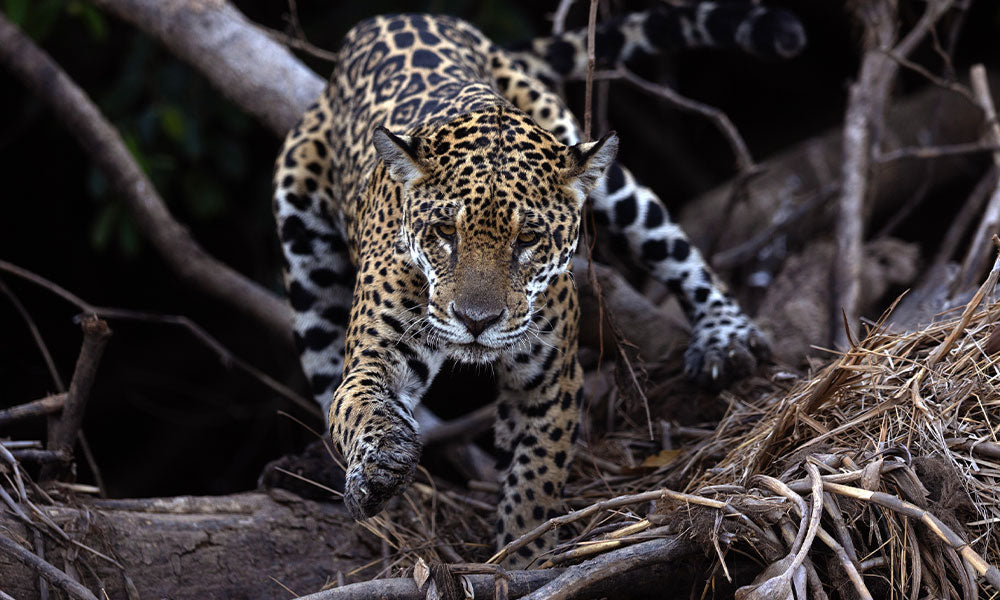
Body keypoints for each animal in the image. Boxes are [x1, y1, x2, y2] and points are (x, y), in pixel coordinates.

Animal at [273, 3, 802, 566]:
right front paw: (378, 468)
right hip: (303, 246)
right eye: (444, 232)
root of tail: (398, 17)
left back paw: (725, 336)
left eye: (527, 238)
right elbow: (358, 404)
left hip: (595, 162)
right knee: (324, 370)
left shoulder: (550, 381)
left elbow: (535, 480)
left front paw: (523, 558)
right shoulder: (377, 355)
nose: (476, 322)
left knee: (672, 245)